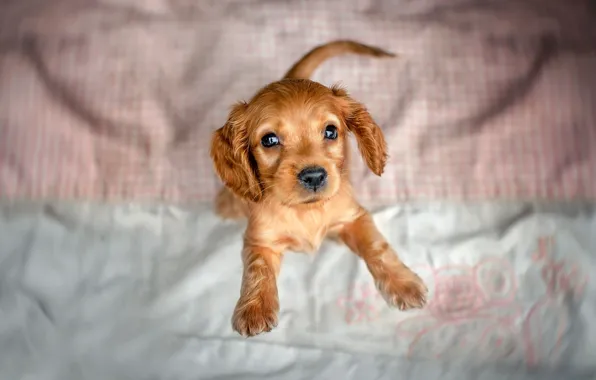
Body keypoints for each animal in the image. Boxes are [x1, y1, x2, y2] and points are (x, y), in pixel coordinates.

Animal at [212, 40, 426, 338]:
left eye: (330, 131)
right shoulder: (260, 239)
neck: (306, 211)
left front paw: (402, 283)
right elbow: (258, 269)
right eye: (269, 140)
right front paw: (255, 308)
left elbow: (377, 247)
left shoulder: (354, 217)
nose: (313, 176)